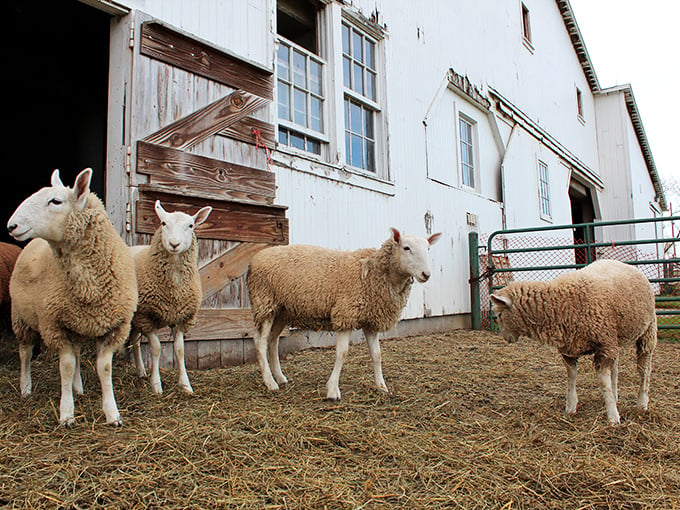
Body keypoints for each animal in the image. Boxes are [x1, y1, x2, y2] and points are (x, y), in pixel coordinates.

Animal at [7, 168, 138, 426]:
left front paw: (112, 413)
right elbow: (65, 367)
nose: (11, 225)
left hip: (75, 324)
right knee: (25, 353)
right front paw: (67, 413)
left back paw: (79, 388)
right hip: (21, 318)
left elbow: (103, 369)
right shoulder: (54, 325)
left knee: (77, 353)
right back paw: (26, 388)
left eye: (55, 201)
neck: (88, 286)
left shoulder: (115, 327)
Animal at [127, 199, 212, 394]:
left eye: (190, 225)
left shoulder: (182, 317)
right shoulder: (147, 316)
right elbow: (156, 349)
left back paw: (141, 372)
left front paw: (185, 385)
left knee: (134, 341)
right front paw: (156, 385)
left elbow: (179, 350)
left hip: (136, 318)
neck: (174, 288)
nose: (174, 244)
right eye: (163, 223)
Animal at [247, 229, 444, 400]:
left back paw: (280, 377)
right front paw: (333, 390)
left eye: (428, 248)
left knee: (273, 340)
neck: (372, 273)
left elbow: (377, 354)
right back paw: (270, 382)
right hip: (264, 302)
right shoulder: (345, 314)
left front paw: (382, 386)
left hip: (281, 310)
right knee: (260, 341)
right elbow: (342, 353)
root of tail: (255, 258)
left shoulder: (370, 320)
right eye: (406, 248)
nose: (426, 274)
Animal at [492, 258, 656, 426]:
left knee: (644, 369)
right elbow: (571, 377)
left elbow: (603, 383)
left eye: (499, 315)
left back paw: (642, 403)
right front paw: (571, 407)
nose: (506, 338)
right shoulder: (569, 349)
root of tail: (622, 263)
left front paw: (613, 417)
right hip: (614, 338)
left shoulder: (603, 345)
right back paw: (616, 396)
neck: (559, 305)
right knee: (615, 369)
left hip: (647, 331)